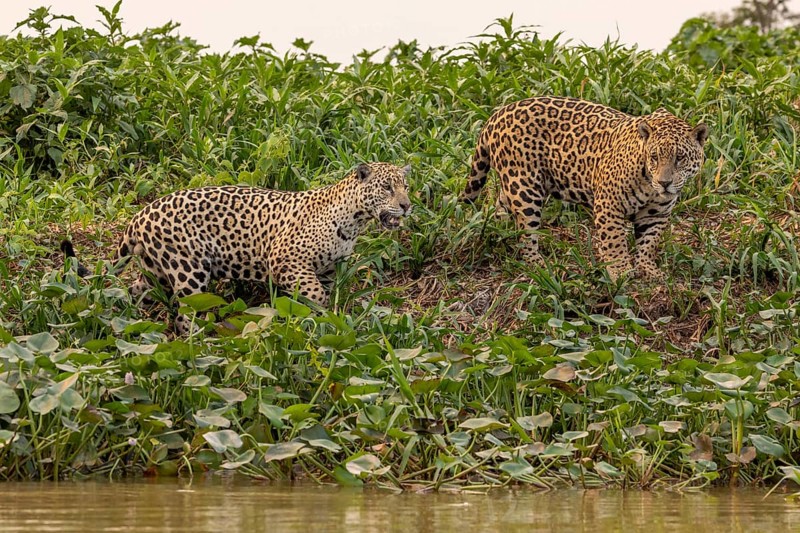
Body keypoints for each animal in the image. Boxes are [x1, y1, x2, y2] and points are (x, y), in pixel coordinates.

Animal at [62, 162, 412, 334]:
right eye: (386, 187)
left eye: (406, 186)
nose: (407, 205)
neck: (355, 220)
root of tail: (140, 213)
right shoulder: (286, 261)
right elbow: (316, 297)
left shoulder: (326, 269)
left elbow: (321, 299)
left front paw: (325, 323)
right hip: (189, 272)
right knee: (186, 313)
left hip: (155, 272)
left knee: (137, 293)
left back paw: (128, 321)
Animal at [460, 96, 709, 281]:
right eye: (654, 157)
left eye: (680, 158)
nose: (664, 183)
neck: (649, 185)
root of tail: (497, 114)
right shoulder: (609, 206)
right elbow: (614, 241)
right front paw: (620, 270)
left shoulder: (655, 214)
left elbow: (648, 243)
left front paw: (647, 269)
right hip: (524, 188)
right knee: (525, 232)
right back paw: (538, 264)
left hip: (513, 186)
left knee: (500, 211)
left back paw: (496, 234)